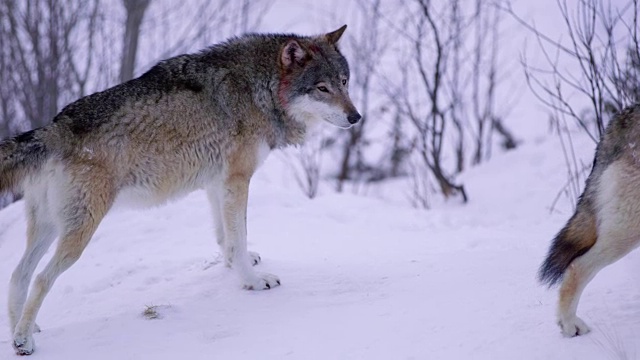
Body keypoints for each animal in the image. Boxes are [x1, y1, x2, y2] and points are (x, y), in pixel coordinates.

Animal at [0, 24, 360, 354]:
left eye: (344, 82)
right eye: (322, 88)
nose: (356, 117)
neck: (259, 87)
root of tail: (53, 127)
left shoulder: (217, 182)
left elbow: (227, 237)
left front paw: (235, 264)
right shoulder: (237, 178)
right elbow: (239, 234)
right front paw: (252, 282)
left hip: (50, 226)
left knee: (18, 274)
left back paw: (23, 330)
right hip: (79, 232)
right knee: (41, 278)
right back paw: (24, 341)